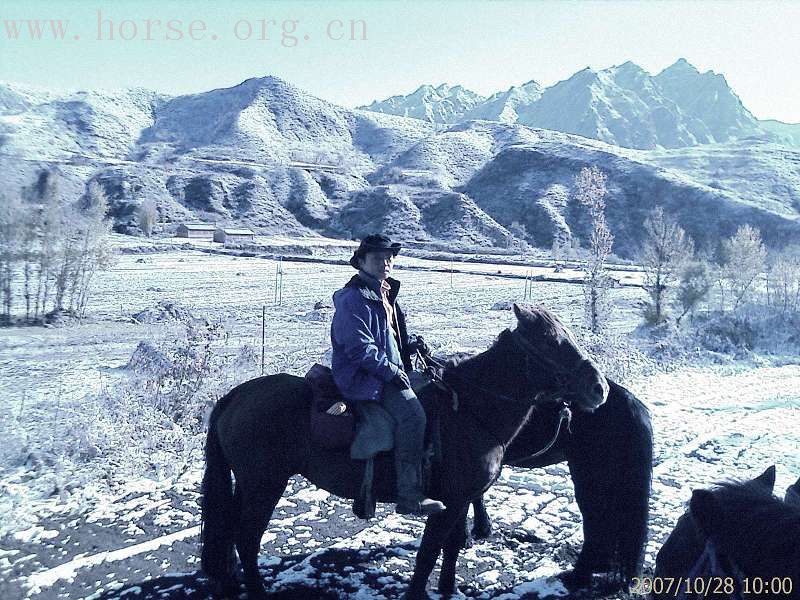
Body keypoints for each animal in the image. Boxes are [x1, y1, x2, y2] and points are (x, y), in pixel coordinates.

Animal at [203, 308, 608, 596]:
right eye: (552, 342)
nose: (600, 388)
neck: (470, 411)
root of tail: (236, 395)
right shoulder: (450, 502)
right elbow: (429, 553)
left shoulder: (462, 499)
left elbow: (452, 547)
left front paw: (449, 589)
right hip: (264, 484)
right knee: (246, 537)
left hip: (250, 484)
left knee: (230, 533)